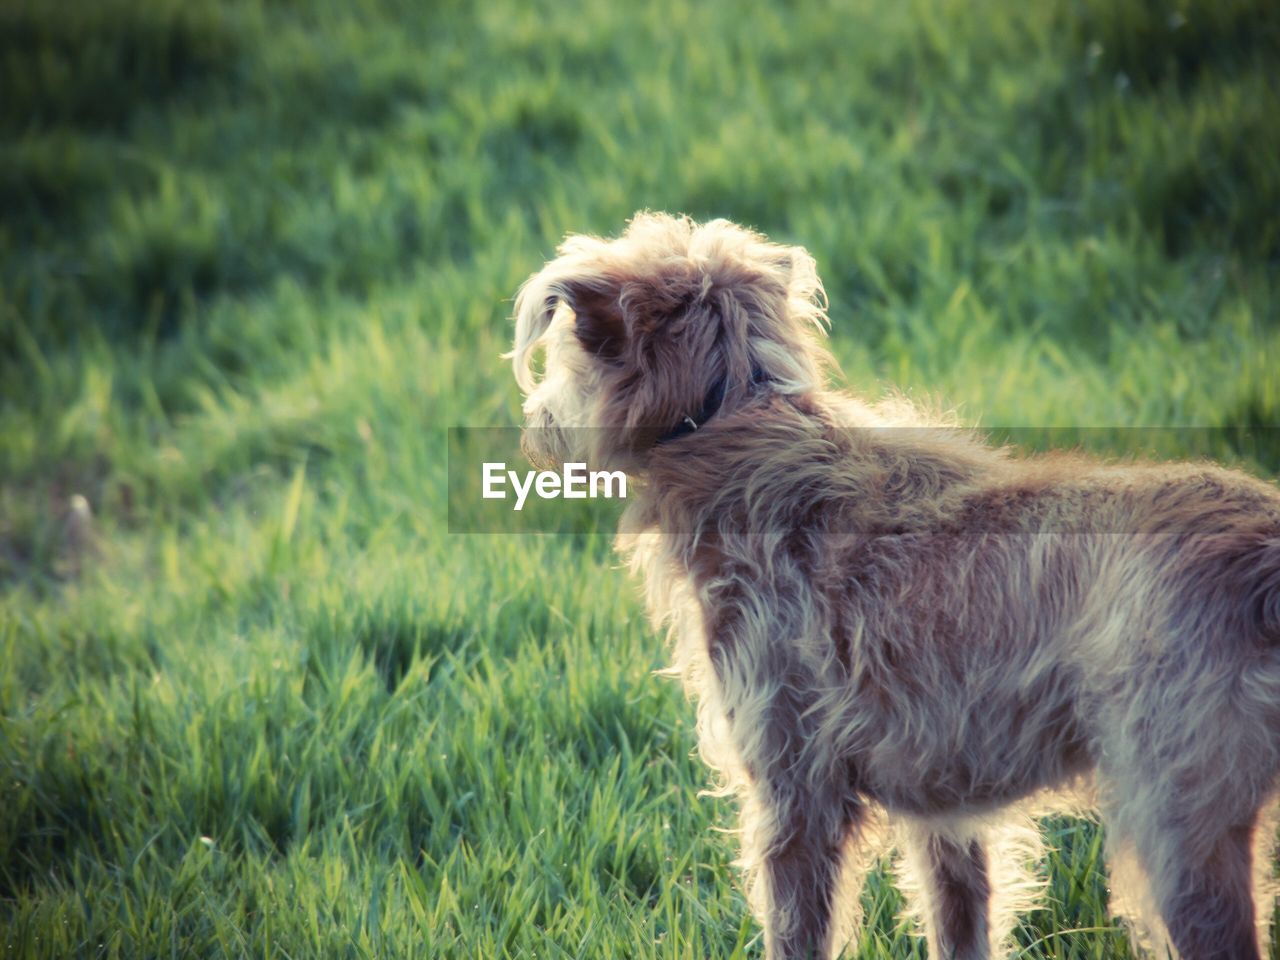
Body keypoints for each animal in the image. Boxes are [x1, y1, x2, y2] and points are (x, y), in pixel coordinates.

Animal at [509, 213, 1280, 957]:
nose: (535, 421)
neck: (735, 414)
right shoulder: (947, 812)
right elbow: (960, 925)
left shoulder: (796, 796)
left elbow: (795, 933)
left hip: (1180, 831)